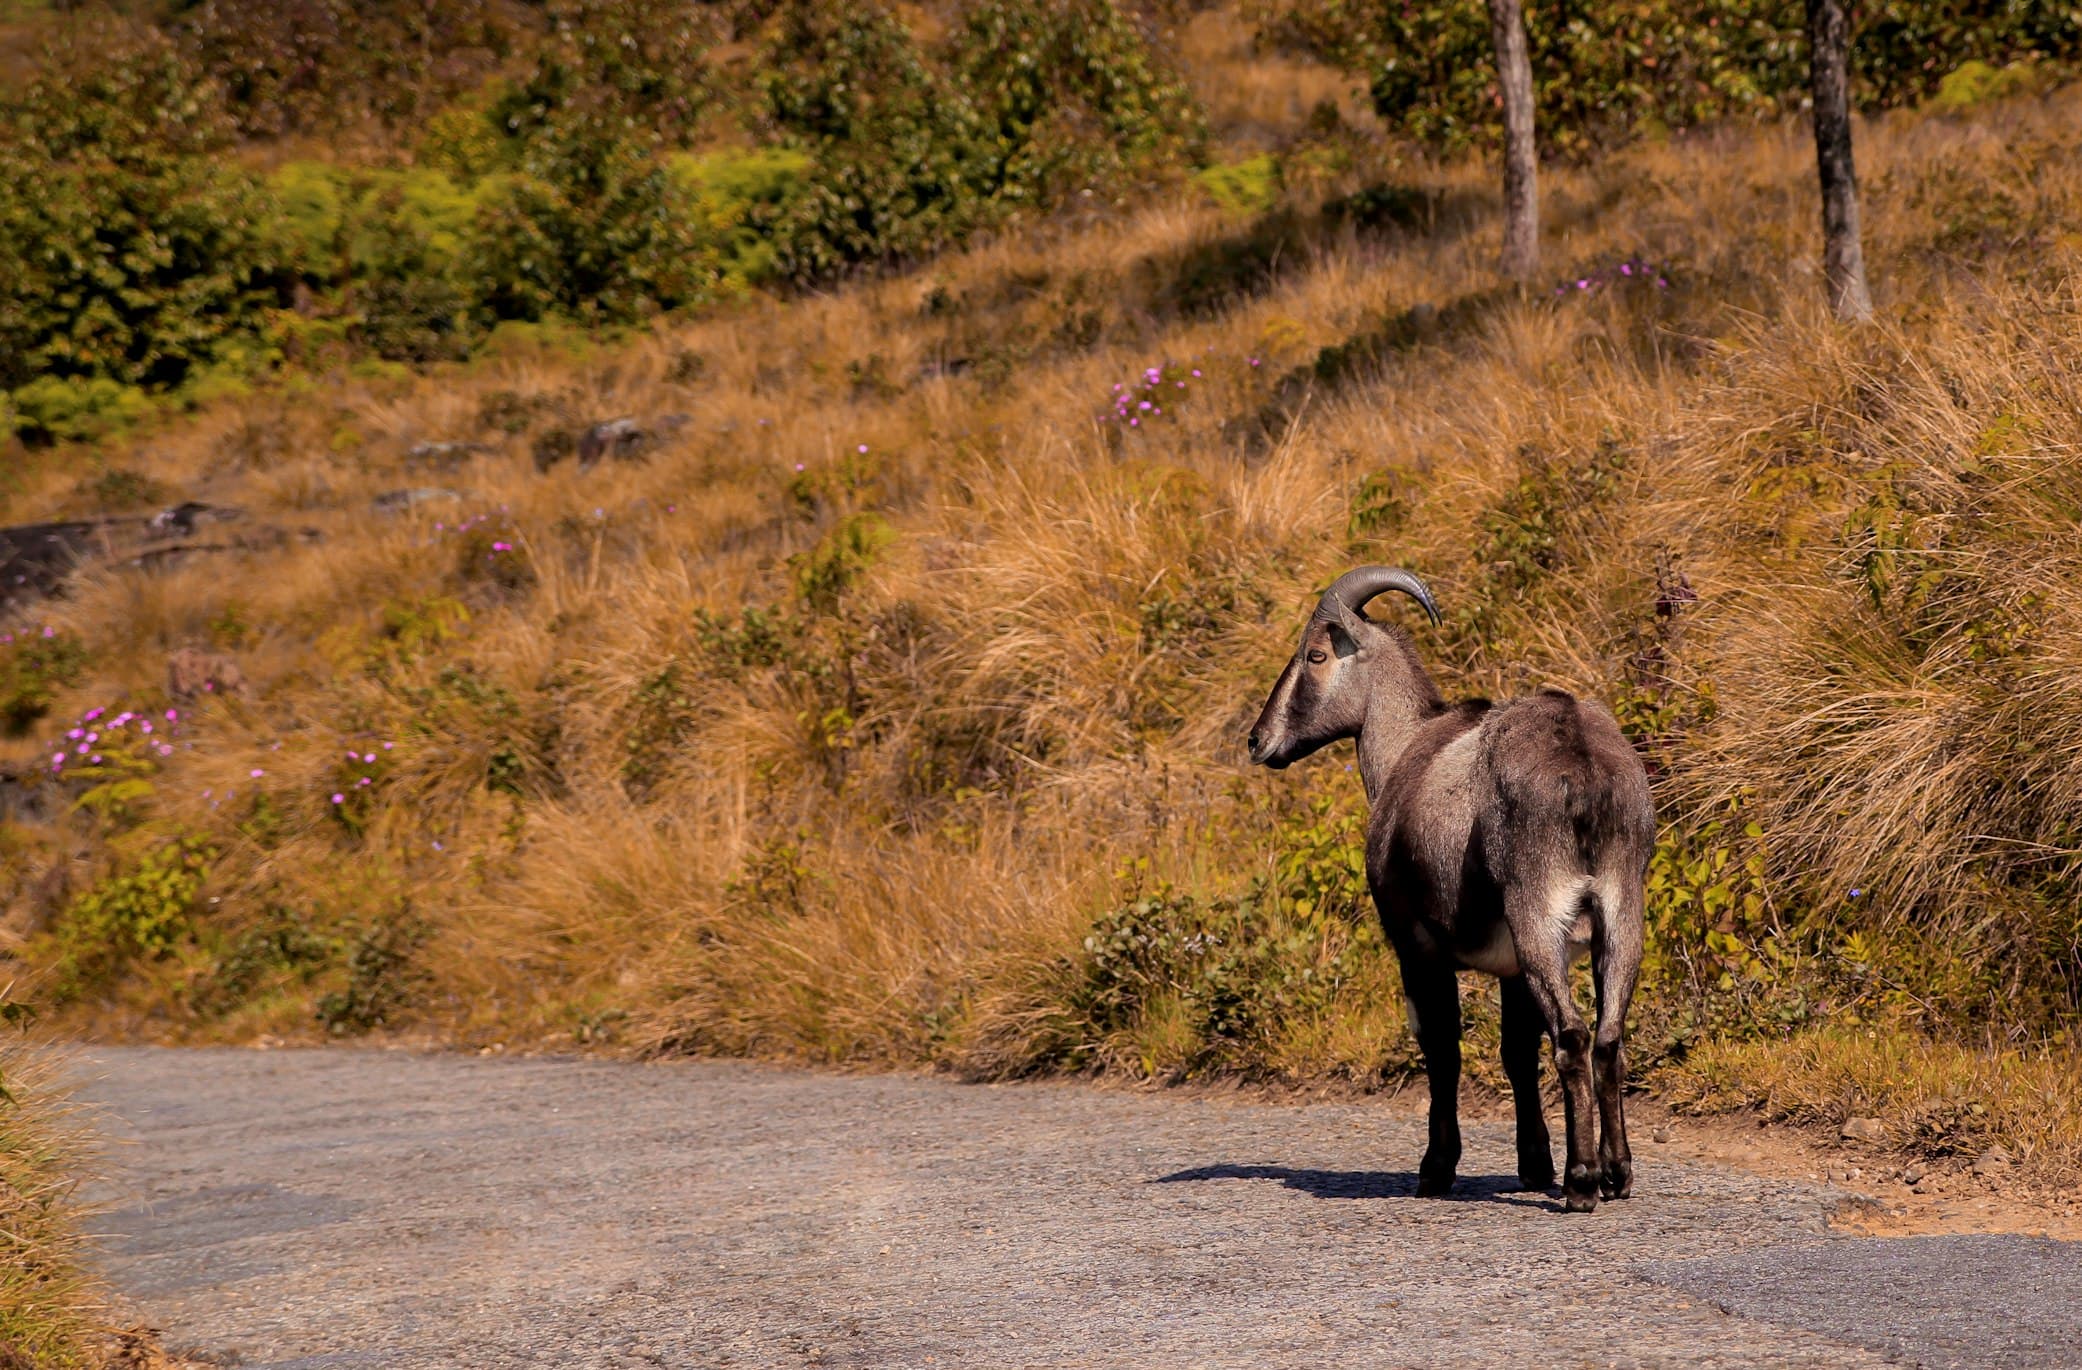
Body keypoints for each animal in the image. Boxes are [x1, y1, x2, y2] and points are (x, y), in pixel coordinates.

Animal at [1247, 566, 1654, 1212]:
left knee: (1571, 1034)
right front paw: (1533, 1163)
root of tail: (1584, 773)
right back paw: (1617, 1175)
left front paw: (1436, 1168)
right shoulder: (1511, 967)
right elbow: (1516, 1050)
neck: (1407, 748)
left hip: (1539, 913)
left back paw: (1581, 1182)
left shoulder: (1415, 945)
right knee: (1609, 1036)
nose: (1258, 740)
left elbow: (1442, 1046)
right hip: (1620, 914)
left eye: (1315, 654)